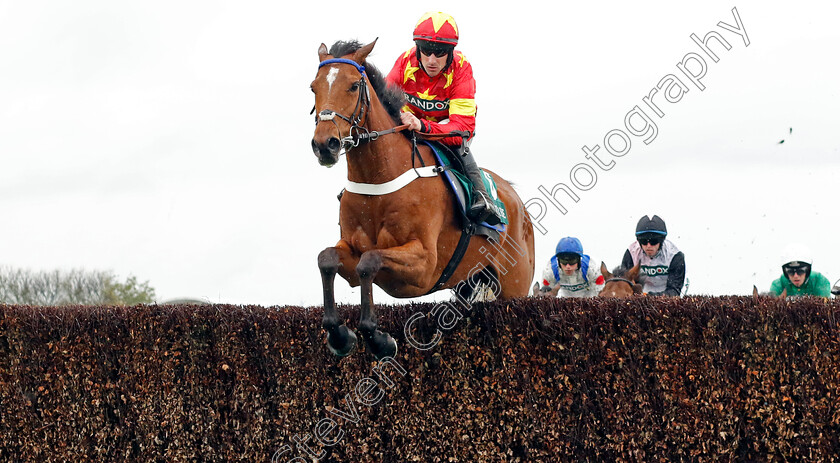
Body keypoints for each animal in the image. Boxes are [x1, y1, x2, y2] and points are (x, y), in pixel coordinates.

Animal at [312, 39, 536, 358]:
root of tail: (519, 204)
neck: (379, 178)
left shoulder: (424, 266)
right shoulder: (351, 252)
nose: (324, 144)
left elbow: (370, 260)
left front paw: (379, 339)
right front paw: (340, 335)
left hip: (514, 287)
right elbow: (328, 259)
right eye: (313, 87)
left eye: (354, 86)